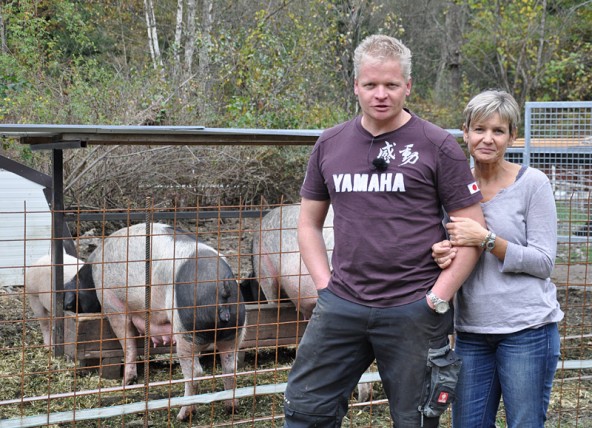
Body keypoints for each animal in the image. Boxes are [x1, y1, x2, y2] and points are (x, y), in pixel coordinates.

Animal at [66, 224, 246, 422]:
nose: (67, 305)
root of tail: (223, 288)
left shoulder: (112, 303)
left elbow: (128, 342)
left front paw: (127, 382)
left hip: (186, 333)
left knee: (195, 373)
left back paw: (181, 415)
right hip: (235, 331)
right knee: (230, 367)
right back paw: (231, 408)